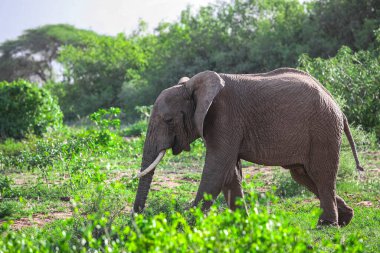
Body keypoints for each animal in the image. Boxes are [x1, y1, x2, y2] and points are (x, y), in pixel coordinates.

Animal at [132, 67, 364, 227]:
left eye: (169, 120)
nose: (136, 221)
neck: (191, 87)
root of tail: (338, 107)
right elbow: (230, 172)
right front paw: (241, 223)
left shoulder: (224, 118)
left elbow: (217, 169)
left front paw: (185, 224)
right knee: (304, 175)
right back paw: (346, 218)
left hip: (323, 129)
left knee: (321, 174)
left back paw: (327, 225)